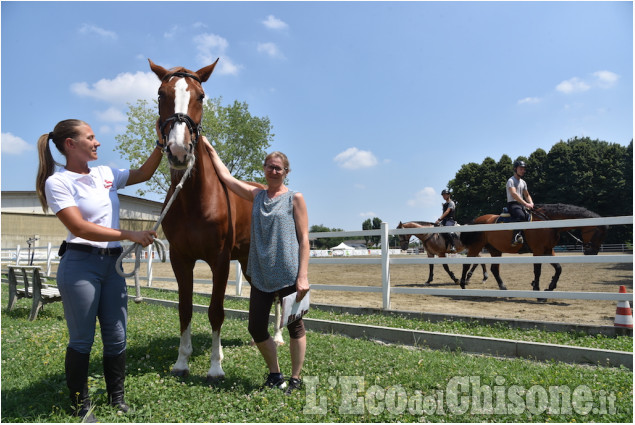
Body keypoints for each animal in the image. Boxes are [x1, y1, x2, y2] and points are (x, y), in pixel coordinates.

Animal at [150, 58, 264, 380]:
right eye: (161, 94)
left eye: (201, 96)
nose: (179, 151)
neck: (194, 201)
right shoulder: (181, 259)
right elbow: (185, 309)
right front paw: (182, 361)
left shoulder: (219, 260)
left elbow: (215, 311)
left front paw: (215, 367)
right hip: (248, 263)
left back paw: (275, 337)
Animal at [460, 203, 608, 290]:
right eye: (599, 233)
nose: (592, 252)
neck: (548, 222)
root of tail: (477, 220)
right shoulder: (538, 251)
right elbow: (537, 270)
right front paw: (537, 289)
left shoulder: (548, 250)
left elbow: (558, 268)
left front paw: (550, 286)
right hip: (476, 247)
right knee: (467, 264)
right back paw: (462, 283)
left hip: (495, 249)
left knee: (494, 269)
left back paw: (503, 287)